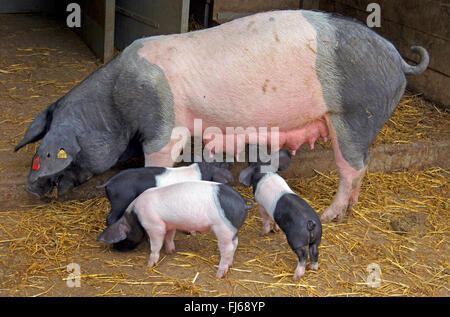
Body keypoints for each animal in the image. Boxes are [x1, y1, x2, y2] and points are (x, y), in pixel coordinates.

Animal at [14, 10, 428, 222]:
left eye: (49, 153)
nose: (31, 189)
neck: (115, 105)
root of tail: (398, 58)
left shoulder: (164, 122)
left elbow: (157, 160)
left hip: (354, 115)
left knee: (352, 167)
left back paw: (331, 215)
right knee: (364, 165)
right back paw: (348, 209)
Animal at [97, 180, 253, 276]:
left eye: (124, 238)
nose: (116, 249)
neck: (135, 216)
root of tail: (243, 203)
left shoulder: (155, 225)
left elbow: (155, 244)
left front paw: (149, 265)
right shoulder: (170, 224)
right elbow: (169, 236)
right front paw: (170, 251)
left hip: (223, 228)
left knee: (228, 249)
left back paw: (219, 274)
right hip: (233, 230)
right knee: (235, 245)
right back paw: (229, 265)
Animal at [241, 149, 322, 278]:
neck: (267, 172)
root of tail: (310, 223)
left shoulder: (261, 204)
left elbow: (266, 219)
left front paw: (263, 233)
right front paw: (276, 229)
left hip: (296, 239)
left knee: (304, 253)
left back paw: (296, 276)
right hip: (318, 237)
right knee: (315, 250)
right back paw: (313, 268)